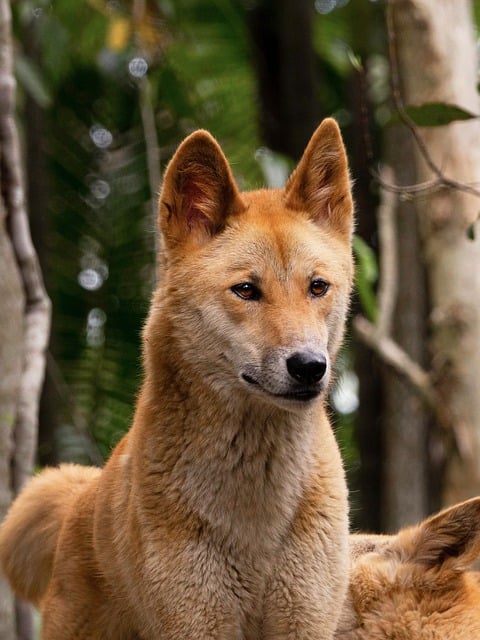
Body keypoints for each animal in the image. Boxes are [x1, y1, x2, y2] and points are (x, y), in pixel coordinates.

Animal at [0, 120, 352, 640]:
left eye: (317, 287)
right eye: (246, 290)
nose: (309, 365)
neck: (256, 515)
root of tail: (85, 495)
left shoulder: (305, 621)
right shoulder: (195, 623)